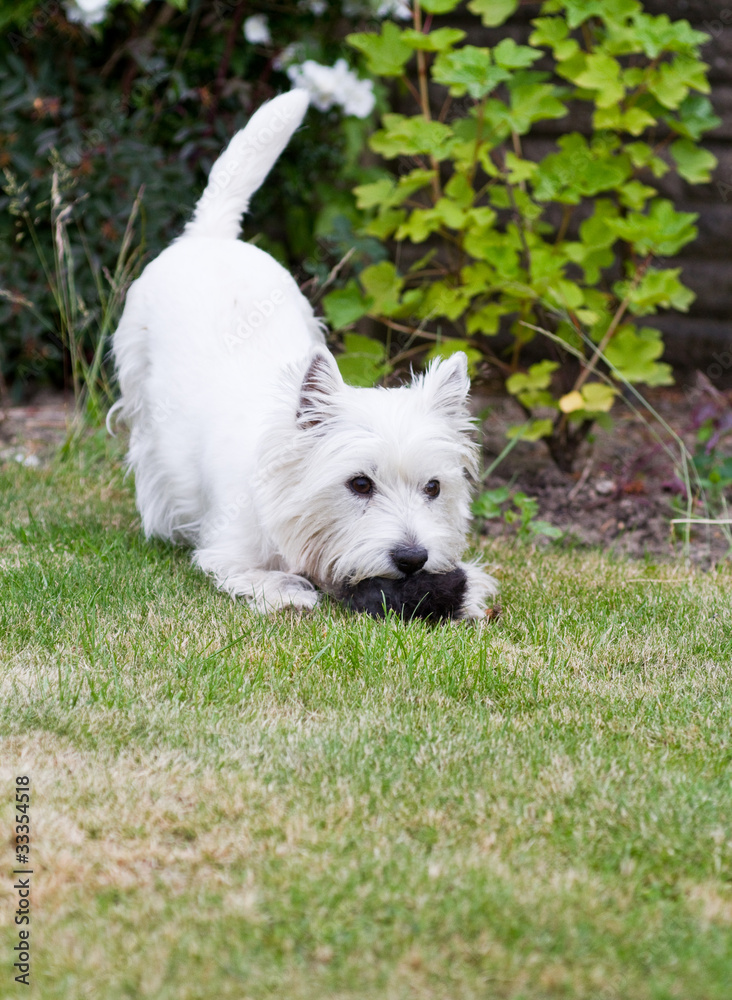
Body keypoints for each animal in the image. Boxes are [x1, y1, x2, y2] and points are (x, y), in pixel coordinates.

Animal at [110, 90, 497, 618]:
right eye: (359, 483)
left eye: (434, 487)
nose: (413, 559)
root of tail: (210, 235)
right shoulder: (229, 549)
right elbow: (253, 571)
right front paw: (288, 589)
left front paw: (470, 591)